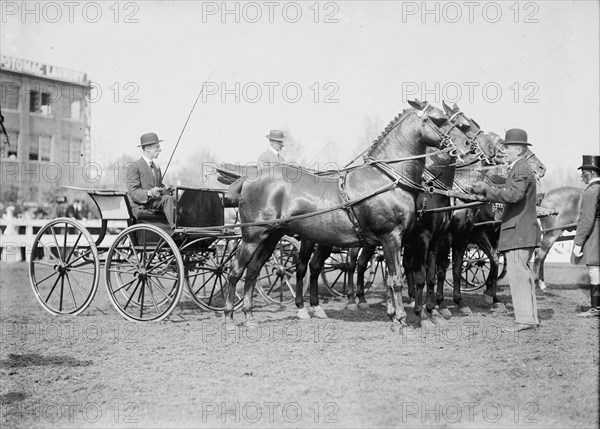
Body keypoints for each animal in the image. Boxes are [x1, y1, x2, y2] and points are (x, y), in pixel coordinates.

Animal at [224, 99, 478, 332]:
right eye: (440, 119)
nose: (469, 145)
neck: (388, 179)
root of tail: (248, 178)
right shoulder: (394, 237)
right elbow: (399, 279)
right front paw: (403, 320)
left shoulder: (407, 240)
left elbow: (399, 277)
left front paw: (399, 315)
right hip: (253, 237)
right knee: (237, 271)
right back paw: (230, 318)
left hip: (272, 237)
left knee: (253, 272)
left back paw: (250, 317)